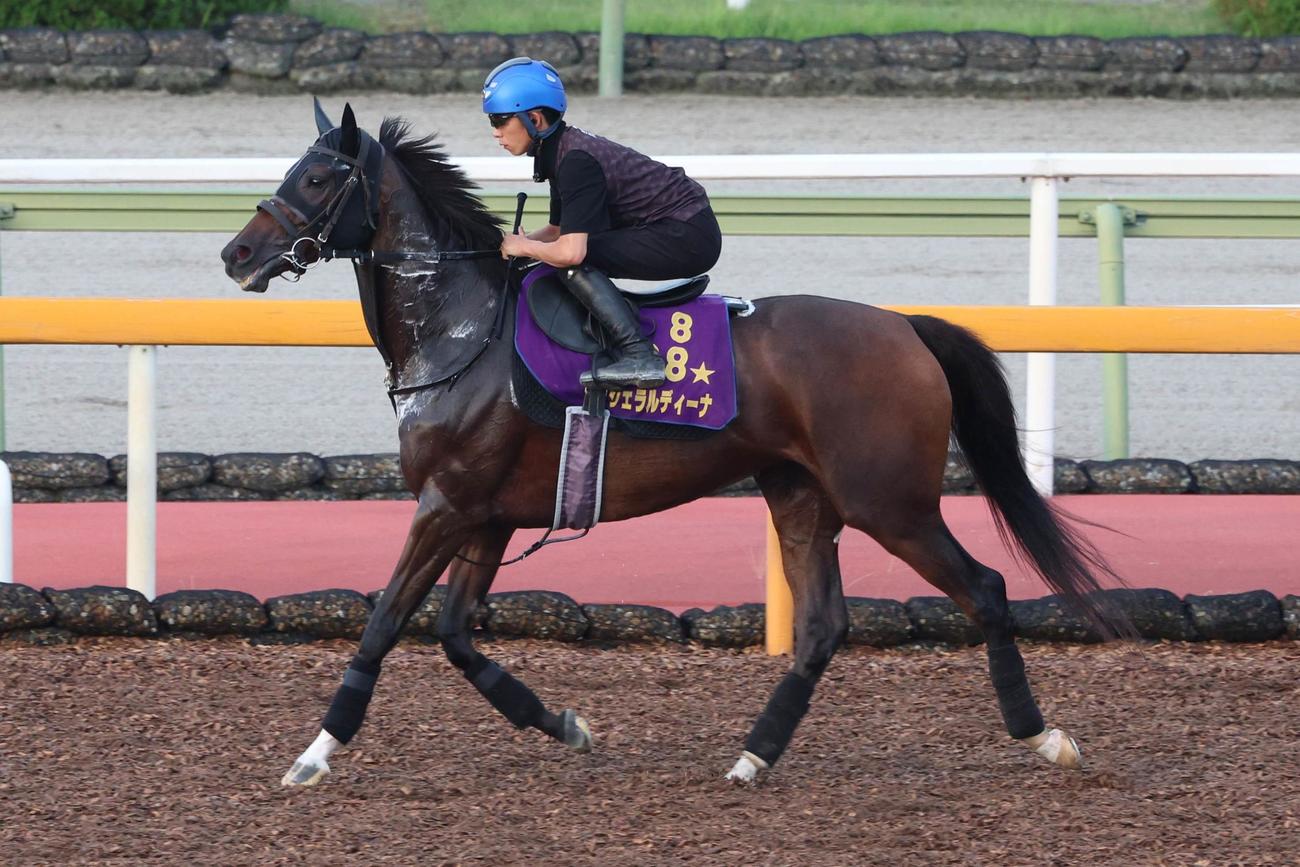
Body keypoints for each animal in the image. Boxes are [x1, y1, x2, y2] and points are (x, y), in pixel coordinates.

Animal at [220, 102, 1124, 788]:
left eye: (315, 177)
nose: (236, 253)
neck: (461, 328)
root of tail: (904, 326)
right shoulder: (487, 513)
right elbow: (455, 633)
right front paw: (564, 723)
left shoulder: (446, 504)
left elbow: (383, 623)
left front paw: (314, 753)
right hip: (801, 495)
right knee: (823, 627)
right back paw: (754, 756)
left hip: (889, 502)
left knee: (986, 588)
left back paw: (1044, 734)